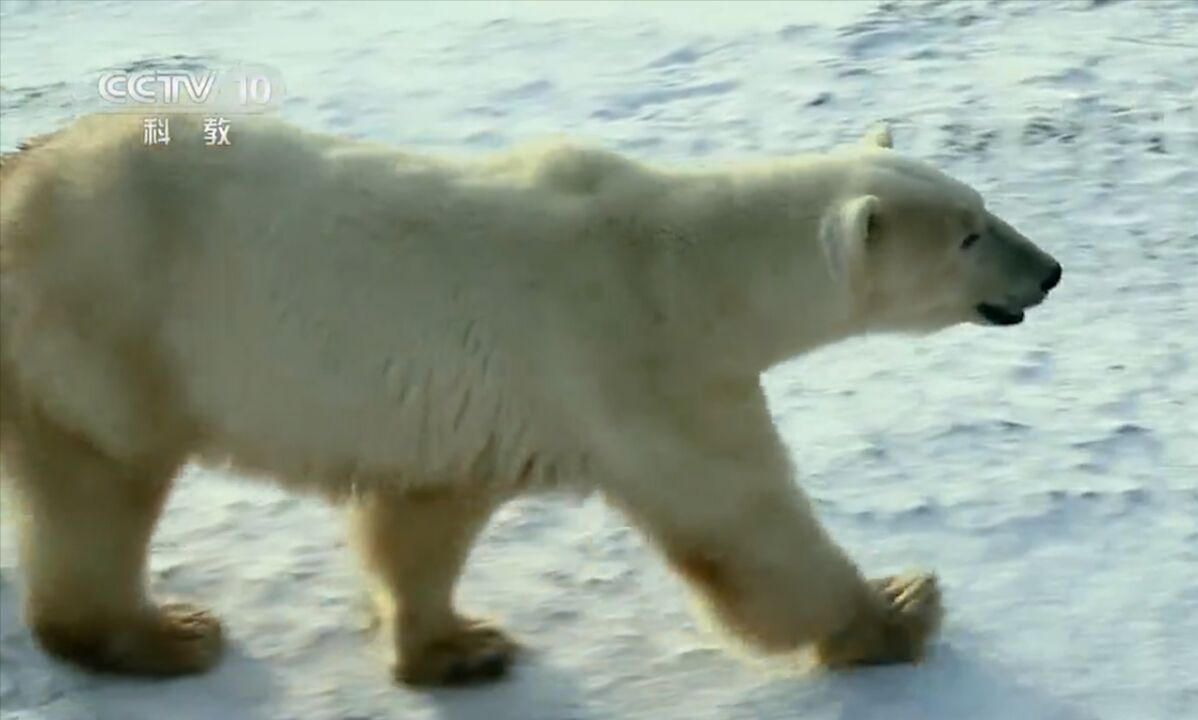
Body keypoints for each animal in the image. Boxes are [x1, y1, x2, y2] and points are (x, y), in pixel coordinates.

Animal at [0, 113, 1063, 685]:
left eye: (983, 206)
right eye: (969, 234)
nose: (1050, 269)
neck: (698, 267)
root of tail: (21, 170)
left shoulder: (480, 405)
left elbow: (422, 517)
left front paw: (458, 646)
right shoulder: (639, 358)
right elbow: (747, 525)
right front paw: (900, 608)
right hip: (108, 322)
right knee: (100, 484)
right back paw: (160, 634)